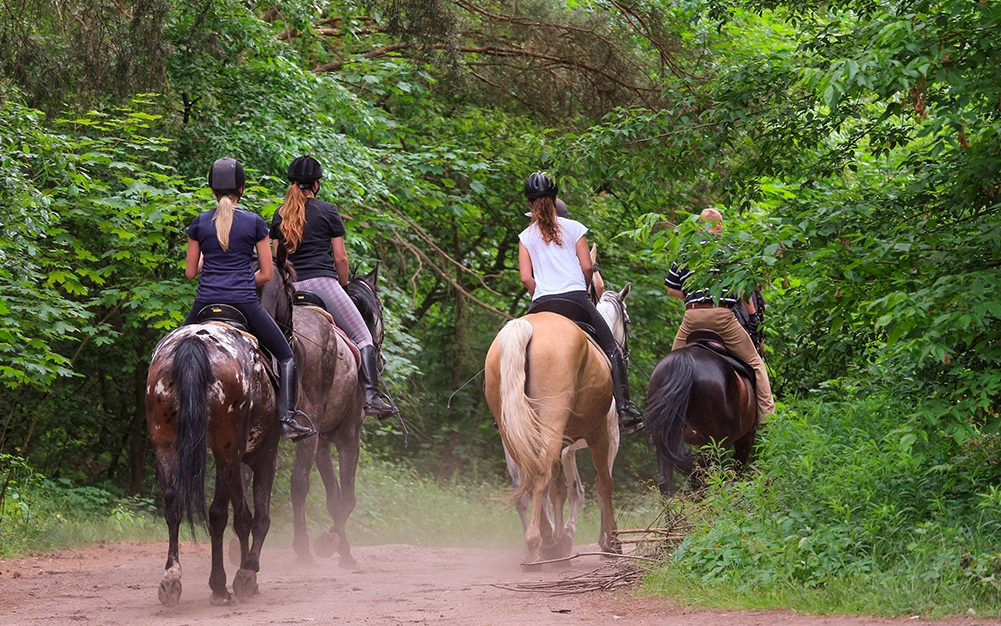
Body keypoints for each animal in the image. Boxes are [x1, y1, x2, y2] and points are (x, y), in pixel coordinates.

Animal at [145, 320, 280, 604]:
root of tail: (193, 342)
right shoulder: (262, 454)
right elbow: (259, 517)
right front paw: (247, 573)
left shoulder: (236, 458)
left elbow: (243, 517)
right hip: (225, 448)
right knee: (217, 514)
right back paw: (219, 586)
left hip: (165, 444)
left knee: (173, 506)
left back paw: (171, 579)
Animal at [258, 258, 386, 564]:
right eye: (381, 308)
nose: (382, 360)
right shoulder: (348, 435)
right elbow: (346, 497)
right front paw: (331, 543)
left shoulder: (323, 441)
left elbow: (333, 497)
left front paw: (342, 548)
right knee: (298, 482)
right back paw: (303, 549)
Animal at [482, 288, 624, 560]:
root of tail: (524, 328)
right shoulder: (606, 435)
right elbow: (602, 484)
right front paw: (609, 542)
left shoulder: (565, 447)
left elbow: (560, 489)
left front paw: (562, 538)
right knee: (544, 475)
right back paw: (539, 544)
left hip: (514, 433)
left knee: (530, 482)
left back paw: (543, 541)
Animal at [648, 338, 756, 494]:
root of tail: (685, 359)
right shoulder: (746, 437)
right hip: (720, 443)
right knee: (712, 477)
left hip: (664, 438)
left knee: (665, 480)